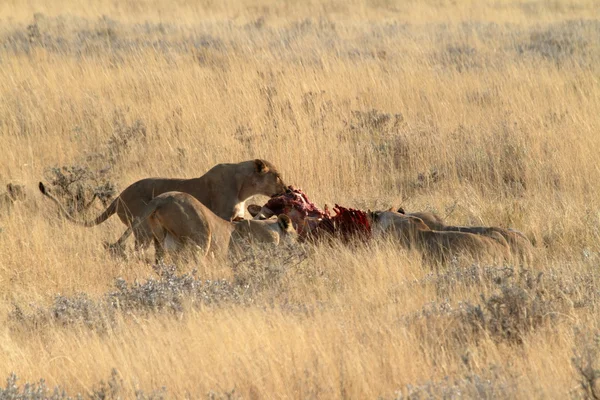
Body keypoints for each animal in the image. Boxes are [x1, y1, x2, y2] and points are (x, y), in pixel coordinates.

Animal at [38, 159, 288, 247]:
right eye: (277, 175)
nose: (287, 189)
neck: (244, 187)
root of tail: (119, 196)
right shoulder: (223, 216)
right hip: (142, 228)